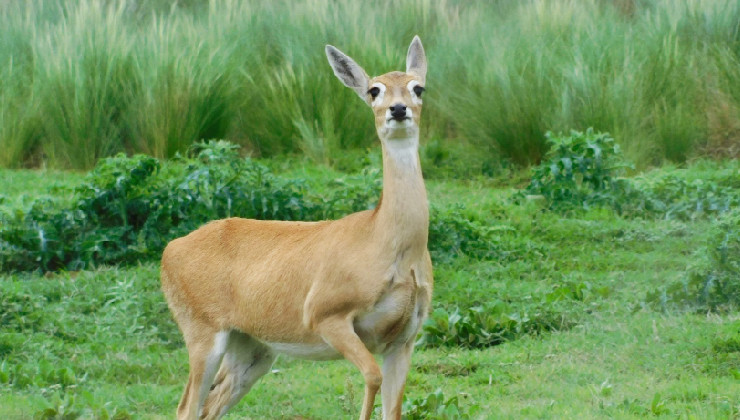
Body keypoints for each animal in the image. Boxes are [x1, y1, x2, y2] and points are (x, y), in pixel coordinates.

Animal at [159, 36, 430, 420]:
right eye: (374, 89)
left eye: (417, 87)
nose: (398, 109)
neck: (388, 244)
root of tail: (170, 249)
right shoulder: (326, 316)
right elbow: (371, 376)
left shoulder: (403, 340)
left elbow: (392, 409)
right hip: (204, 334)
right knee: (186, 406)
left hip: (252, 348)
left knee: (209, 405)